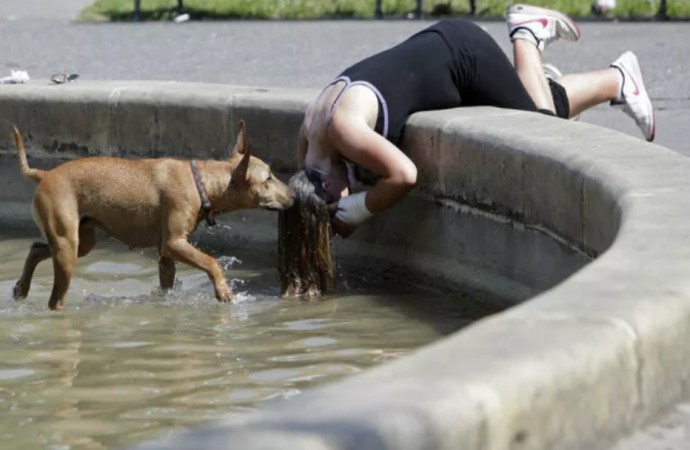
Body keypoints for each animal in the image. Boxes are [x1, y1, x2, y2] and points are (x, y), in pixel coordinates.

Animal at [11, 119, 292, 310]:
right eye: (268, 178)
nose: (293, 194)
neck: (200, 183)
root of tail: (44, 174)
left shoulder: (166, 252)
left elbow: (167, 282)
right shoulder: (174, 242)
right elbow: (212, 262)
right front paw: (224, 292)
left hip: (81, 241)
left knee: (36, 248)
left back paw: (21, 288)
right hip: (67, 246)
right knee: (55, 299)